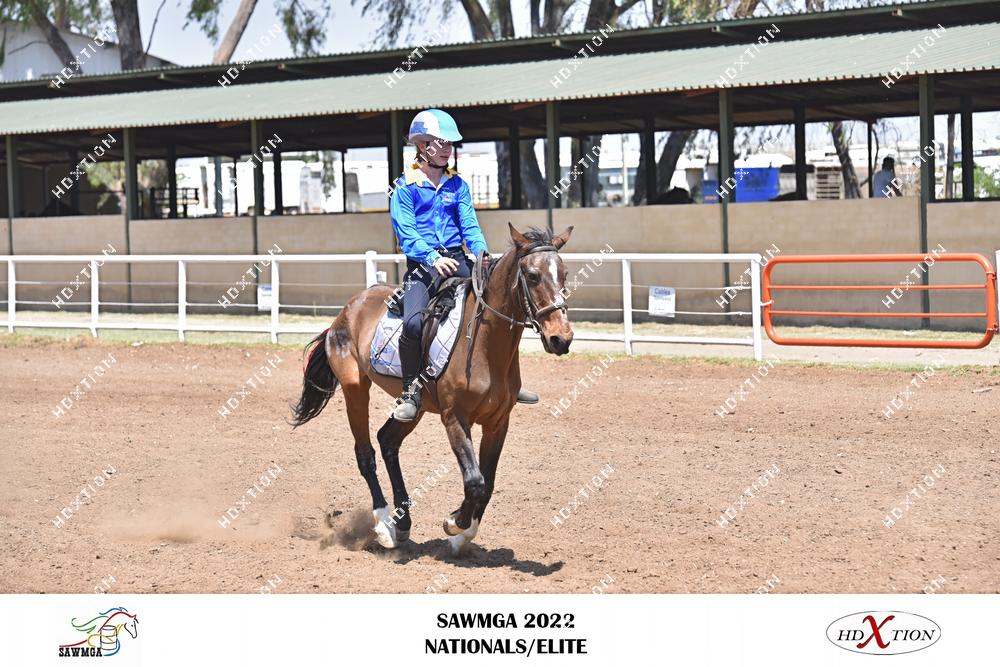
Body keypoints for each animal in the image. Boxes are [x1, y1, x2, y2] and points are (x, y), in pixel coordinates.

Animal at [291, 223, 574, 554]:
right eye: (532, 275)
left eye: (564, 274)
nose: (561, 338)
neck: (484, 343)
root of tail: (346, 311)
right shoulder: (454, 418)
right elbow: (475, 480)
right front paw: (455, 524)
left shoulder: (498, 422)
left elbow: (487, 483)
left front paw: (464, 534)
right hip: (355, 389)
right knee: (366, 453)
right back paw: (385, 526)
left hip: (415, 408)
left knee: (388, 441)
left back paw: (403, 523)